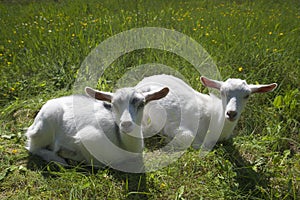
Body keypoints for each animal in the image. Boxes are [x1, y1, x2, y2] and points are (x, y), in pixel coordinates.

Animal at [25, 86, 169, 170]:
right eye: (113, 104)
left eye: (142, 104)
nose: (126, 124)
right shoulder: (87, 137)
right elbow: (97, 163)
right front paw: (71, 155)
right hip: (44, 127)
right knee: (33, 148)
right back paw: (60, 159)